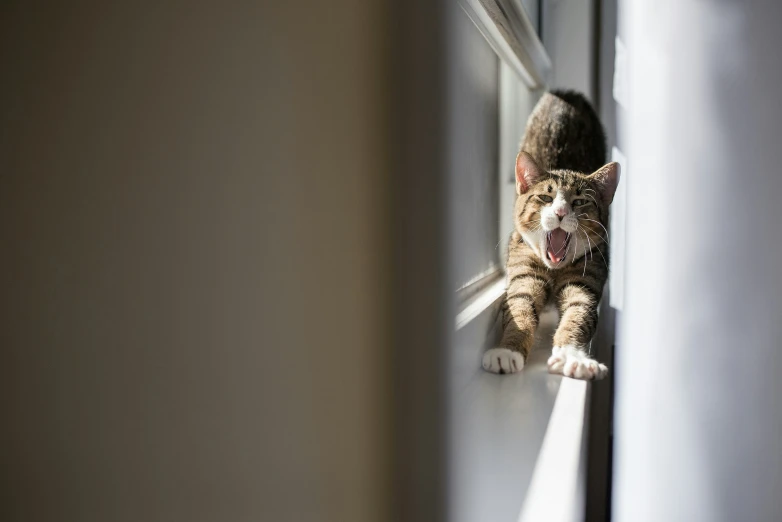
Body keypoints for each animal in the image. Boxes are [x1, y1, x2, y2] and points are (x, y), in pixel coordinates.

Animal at [480, 90, 620, 378]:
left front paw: (572, 357)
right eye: (545, 197)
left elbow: (578, 312)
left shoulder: (587, 276)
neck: (555, 270)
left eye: (580, 202)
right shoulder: (524, 268)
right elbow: (519, 307)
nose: (560, 212)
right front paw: (506, 351)